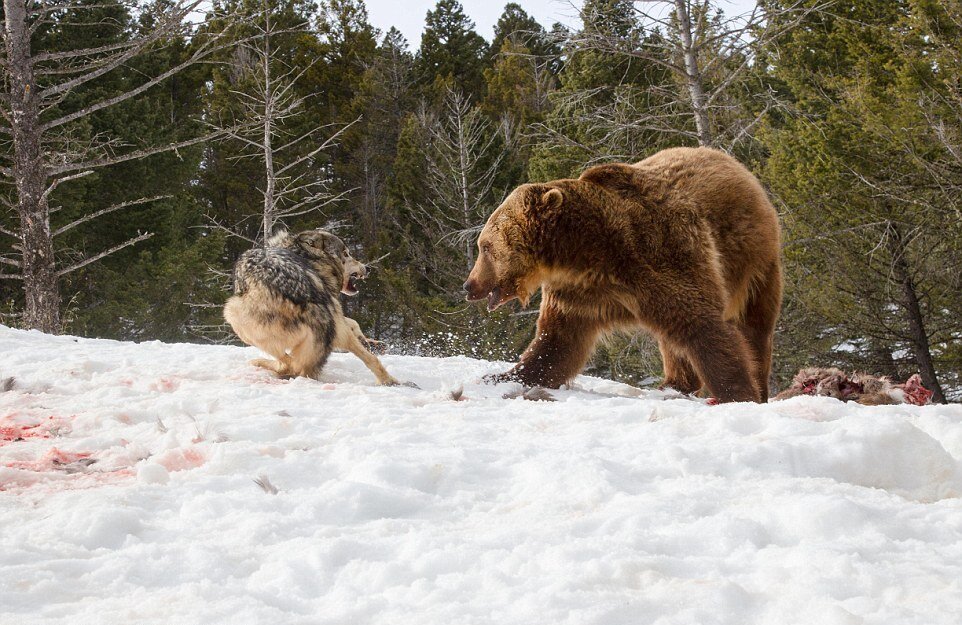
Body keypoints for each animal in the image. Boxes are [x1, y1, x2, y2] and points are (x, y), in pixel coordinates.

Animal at [223, 229, 400, 386]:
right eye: (346, 254)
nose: (368, 268)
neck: (309, 257)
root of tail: (310, 304)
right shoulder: (336, 313)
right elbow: (353, 322)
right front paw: (366, 339)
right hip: (336, 330)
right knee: (370, 358)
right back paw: (388, 379)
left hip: (233, 314)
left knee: (290, 365)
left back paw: (259, 362)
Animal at [462, 146, 784, 402]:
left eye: (485, 246)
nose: (468, 285)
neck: (588, 252)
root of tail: (732, 162)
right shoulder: (578, 292)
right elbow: (556, 344)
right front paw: (501, 376)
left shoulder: (661, 252)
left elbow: (704, 324)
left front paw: (738, 394)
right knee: (671, 340)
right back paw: (673, 385)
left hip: (754, 260)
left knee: (754, 326)